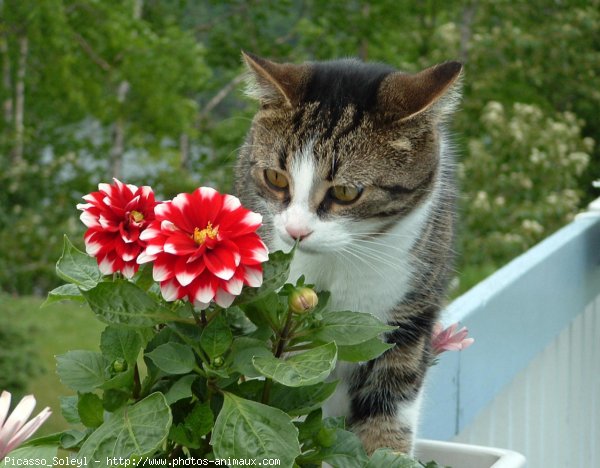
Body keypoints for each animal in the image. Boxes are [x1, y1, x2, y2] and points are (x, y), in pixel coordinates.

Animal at [233, 52, 460, 458]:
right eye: (275, 178)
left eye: (346, 192)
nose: (296, 231)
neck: (340, 262)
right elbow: (285, 390)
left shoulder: (409, 318)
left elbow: (388, 411)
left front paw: (388, 456)